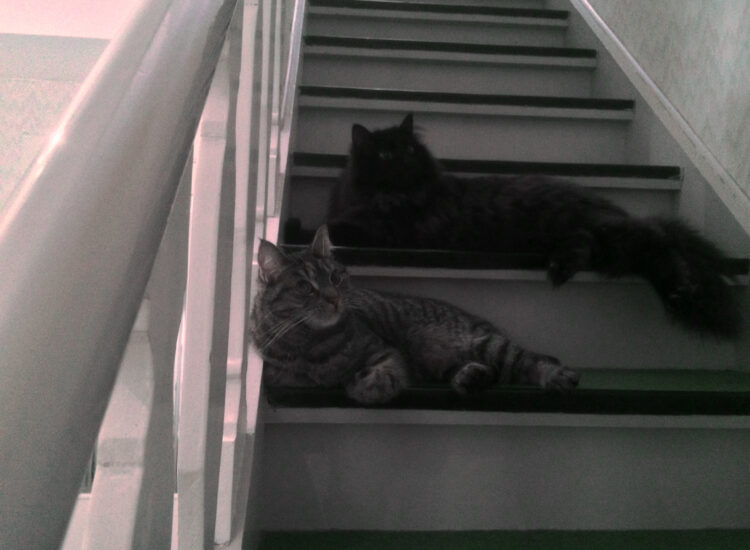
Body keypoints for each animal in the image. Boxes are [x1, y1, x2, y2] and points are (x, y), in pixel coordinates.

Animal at [253, 225, 580, 406]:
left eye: (335, 278)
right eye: (304, 287)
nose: (334, 298)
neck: (309, 342)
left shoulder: (383, 350)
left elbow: (385, 373)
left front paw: (366, 386)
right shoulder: (277, 374)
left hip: (485, 344)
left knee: (530, 361)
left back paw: (558, 377)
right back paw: (470, 376)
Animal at [324, 113, 748, 340]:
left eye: (410, 149)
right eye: (384, 154)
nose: (406, 160)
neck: (390, 195)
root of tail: (607, 206)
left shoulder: (395, 228)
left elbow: (335, 228)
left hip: (598, 229)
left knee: (657, 239)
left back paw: (683, 287)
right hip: (599, 243)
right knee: (622, 248)